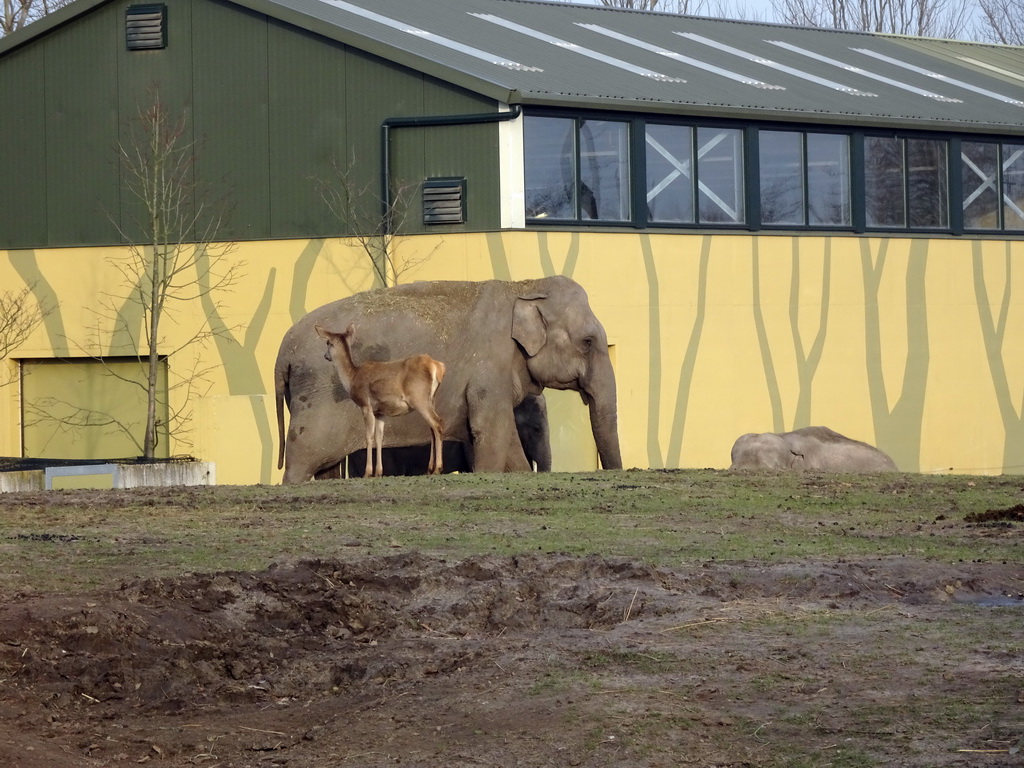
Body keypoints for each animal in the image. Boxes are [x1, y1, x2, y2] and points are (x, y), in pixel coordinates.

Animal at [313, 321, 446, 479]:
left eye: (328, 342)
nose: (325, 356)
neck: (352, 378)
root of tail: (437, 367)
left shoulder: (366, 405)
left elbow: (368, 437)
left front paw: (367, 472)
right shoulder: (380, 412)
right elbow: (379, 438)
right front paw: (379, 472)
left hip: (419, 398)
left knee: (437, 423)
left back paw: (438, 468)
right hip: (432, 398)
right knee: (432, 428)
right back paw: (430, 468)